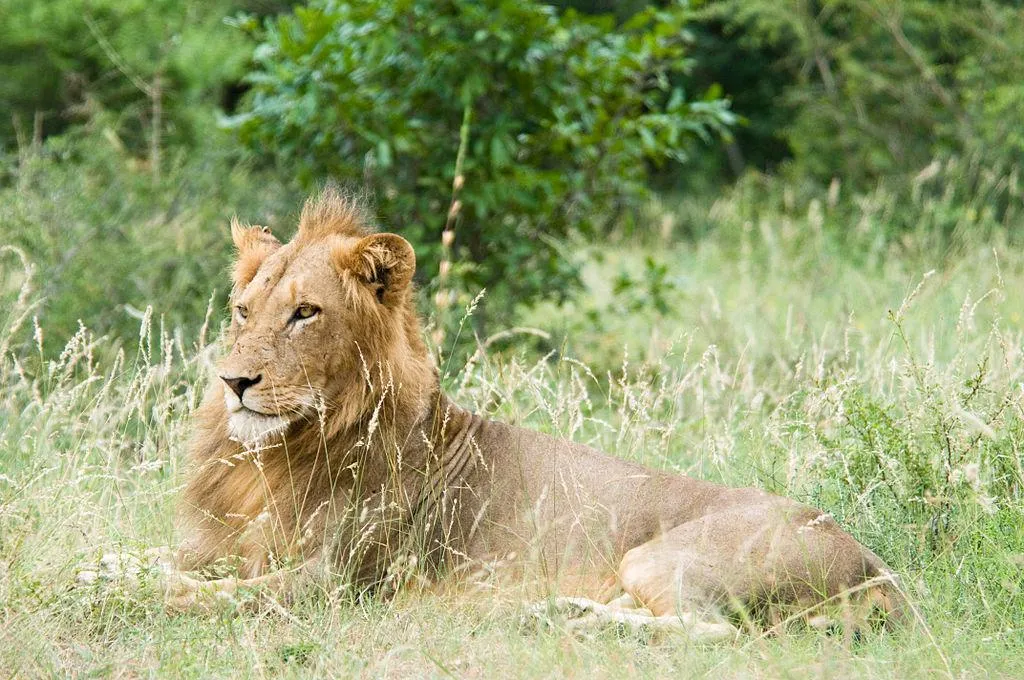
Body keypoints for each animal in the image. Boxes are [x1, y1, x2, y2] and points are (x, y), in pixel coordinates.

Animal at [163, 187, 909, 639]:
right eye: (242, 311)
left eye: (305, 313)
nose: (234, 381)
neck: (271, 455)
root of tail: (875, 566)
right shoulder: (218, 545)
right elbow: (154, 560)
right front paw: (140, 574)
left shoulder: (341, 581)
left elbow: (212, 596)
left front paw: (152, 597)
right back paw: (564, 611)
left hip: (662, 558)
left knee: (709, 632)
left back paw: (577, 622)